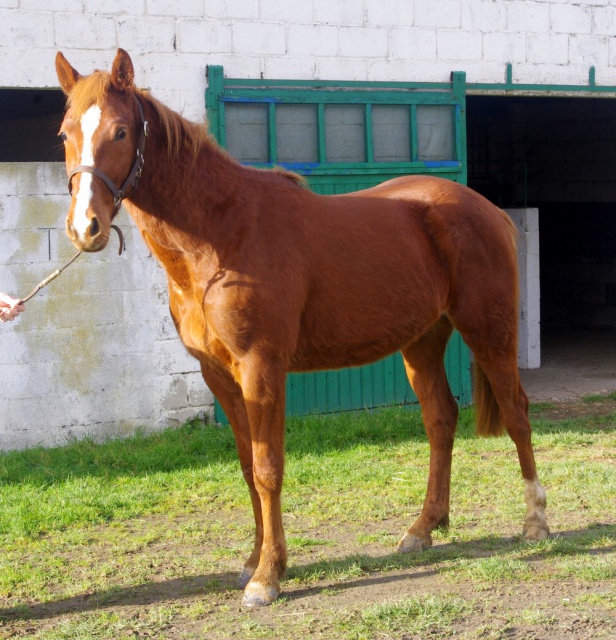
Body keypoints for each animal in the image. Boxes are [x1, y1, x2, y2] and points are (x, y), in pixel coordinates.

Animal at [56, 48, 548, 604]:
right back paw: (423, 528)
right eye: (65, 133)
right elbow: (247, 466)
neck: (222, 234)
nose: (85, 228)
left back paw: (535, 522)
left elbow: (269, 468)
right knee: (440, 420)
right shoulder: (218, 375)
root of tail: (485, 209)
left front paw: (268, 576)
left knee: (516, 412)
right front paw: (254, 561)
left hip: (489, 331)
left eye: (120, 132)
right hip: (422, 341)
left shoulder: (262, 367)